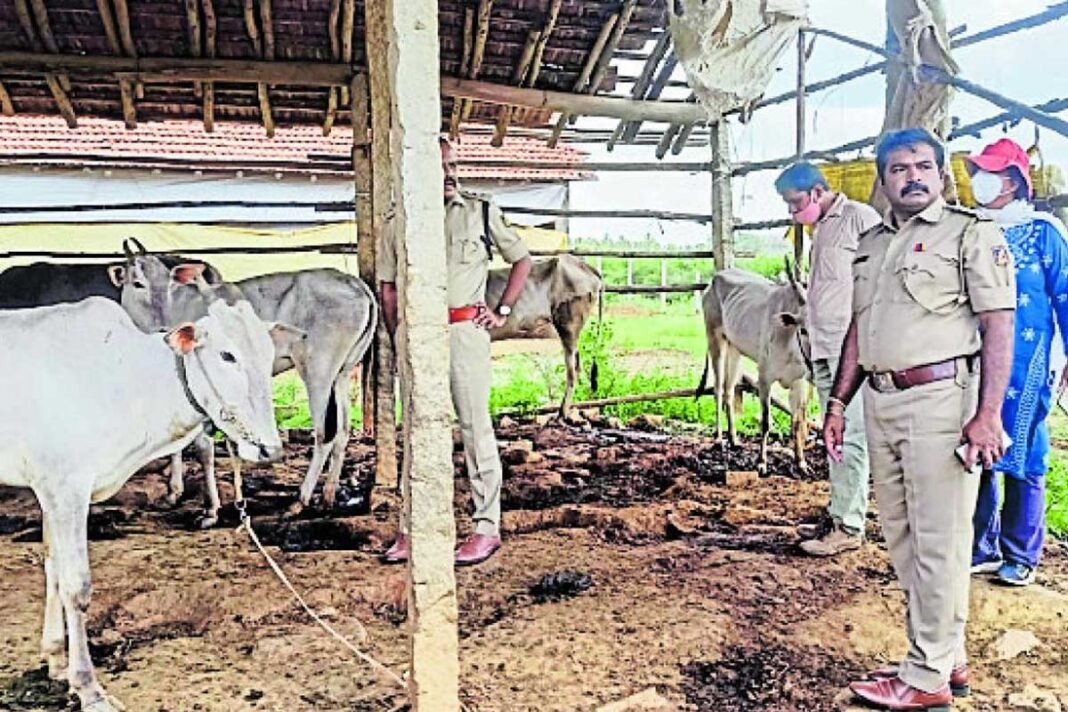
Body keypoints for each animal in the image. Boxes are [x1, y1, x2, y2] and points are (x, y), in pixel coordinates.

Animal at [0, 294, 296, 708]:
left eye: (268, 356)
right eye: (227, 355)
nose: (270, 449)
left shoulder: (51, 492)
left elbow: (53, 571)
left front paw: (56, 662)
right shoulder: (65, 489)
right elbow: (76, 586)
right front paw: (88, 688)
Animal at [115, 242, 375, 520]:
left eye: (168, 284)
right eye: (138, 283)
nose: (163, 327)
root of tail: (357, 284)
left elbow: (203, 447)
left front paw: (211, 508)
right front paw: (174, 492)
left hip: (318, 372)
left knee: (325, 433)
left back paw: (300, 500)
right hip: (343, 374)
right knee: (344, 431)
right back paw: (328, 495)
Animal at [696, 260, 811, 473]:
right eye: (804, 330)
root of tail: (715, 279)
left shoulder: (798, 381)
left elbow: (797, 422)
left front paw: (801, 462)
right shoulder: (764, 377)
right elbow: (765, 422)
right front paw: (761, 462)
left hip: (734, 349)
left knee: (729, 391)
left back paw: (733, 439)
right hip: (715, 339)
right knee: (717, 390)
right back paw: (718, 438)